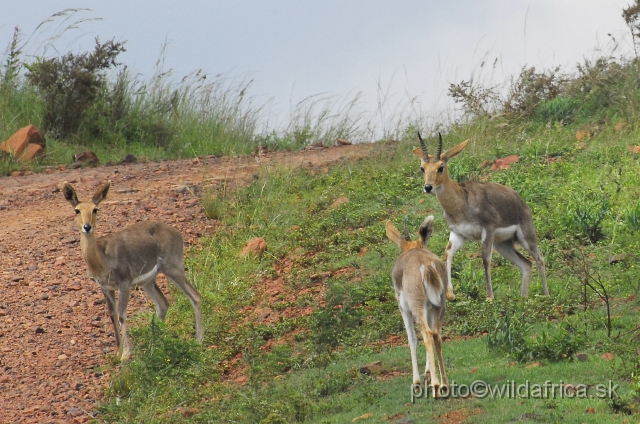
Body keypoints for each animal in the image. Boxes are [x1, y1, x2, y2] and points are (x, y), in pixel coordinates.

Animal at [62, 181, 202, 360]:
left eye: (95, 209)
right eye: (77, 210)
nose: (87, 227)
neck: (102, 260)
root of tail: (176, 233)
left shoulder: (124, 283)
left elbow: (122, 314)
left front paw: (126, 355)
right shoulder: (106, 287)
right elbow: (113, 315)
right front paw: (118, 353)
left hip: (173, 268)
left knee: (195, 296)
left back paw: (198, 340)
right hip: (148, 282)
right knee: (163, 304)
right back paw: (153, 344)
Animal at [388, 215, 448, 398]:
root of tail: (426, 265)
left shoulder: (405, 310)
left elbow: (412, 339)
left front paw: (417, 382)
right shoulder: (428, 308)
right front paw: (427, 375)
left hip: (416, 308)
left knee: (427, 334)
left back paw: (436, 386)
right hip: (439, 306)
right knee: (436, 334)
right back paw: (443, 385)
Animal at [416, 134, 552, 300]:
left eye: (440, 167)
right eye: (422, 168)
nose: (428, 187)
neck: (462, 202)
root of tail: (521, 202)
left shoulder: (488, 229)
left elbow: (485, 259)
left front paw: (489, 297)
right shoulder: (457, 233)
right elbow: (447, 253)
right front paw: (450, 294)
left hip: (526, 237)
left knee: (540, 258)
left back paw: (546, 295)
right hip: (502, 244)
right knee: (526, 264)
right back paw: (523, 298)